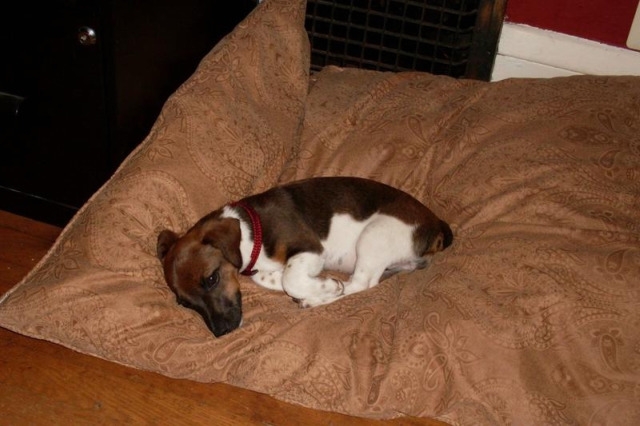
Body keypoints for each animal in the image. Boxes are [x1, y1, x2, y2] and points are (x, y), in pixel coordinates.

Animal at [157, 176, 452, 336]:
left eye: (211, 279)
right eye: (185, 304)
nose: (221, 332)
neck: (251, 229)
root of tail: (436, 224)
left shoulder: (311, 249)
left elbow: (291, 278)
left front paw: (322, 286)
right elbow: (273, 277)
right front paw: (281, 279)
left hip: (374, 235)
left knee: (360, 284)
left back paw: (317, 297)